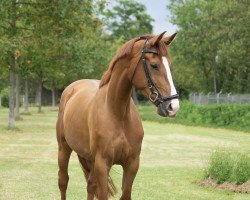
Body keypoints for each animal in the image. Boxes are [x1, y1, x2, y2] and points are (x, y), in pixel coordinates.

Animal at [56, 32, 180, 199]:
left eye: (169, 65)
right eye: (154, 65)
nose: (173, 106)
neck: (117, 114)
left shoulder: (132, 164)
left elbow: (125, 194)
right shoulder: (102, 164)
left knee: (90, 185)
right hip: (64, 148)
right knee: (63, 181)